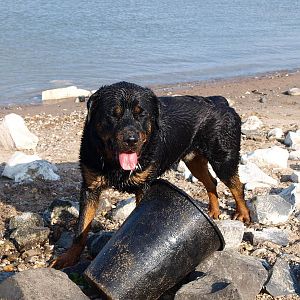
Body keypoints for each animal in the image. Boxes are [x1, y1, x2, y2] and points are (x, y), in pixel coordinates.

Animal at [49, 81, 251, 268]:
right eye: (113, 114)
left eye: (142, 114)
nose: (131, 139)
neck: (115, 164)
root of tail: (220, 101)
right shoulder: (90, 187)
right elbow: (81, 228)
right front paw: (68, 258)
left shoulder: (144, 187)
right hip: (193, 159)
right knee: (211, 182)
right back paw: (214, 211)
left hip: (223, 158)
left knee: (235, 185)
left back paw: (243, 214)